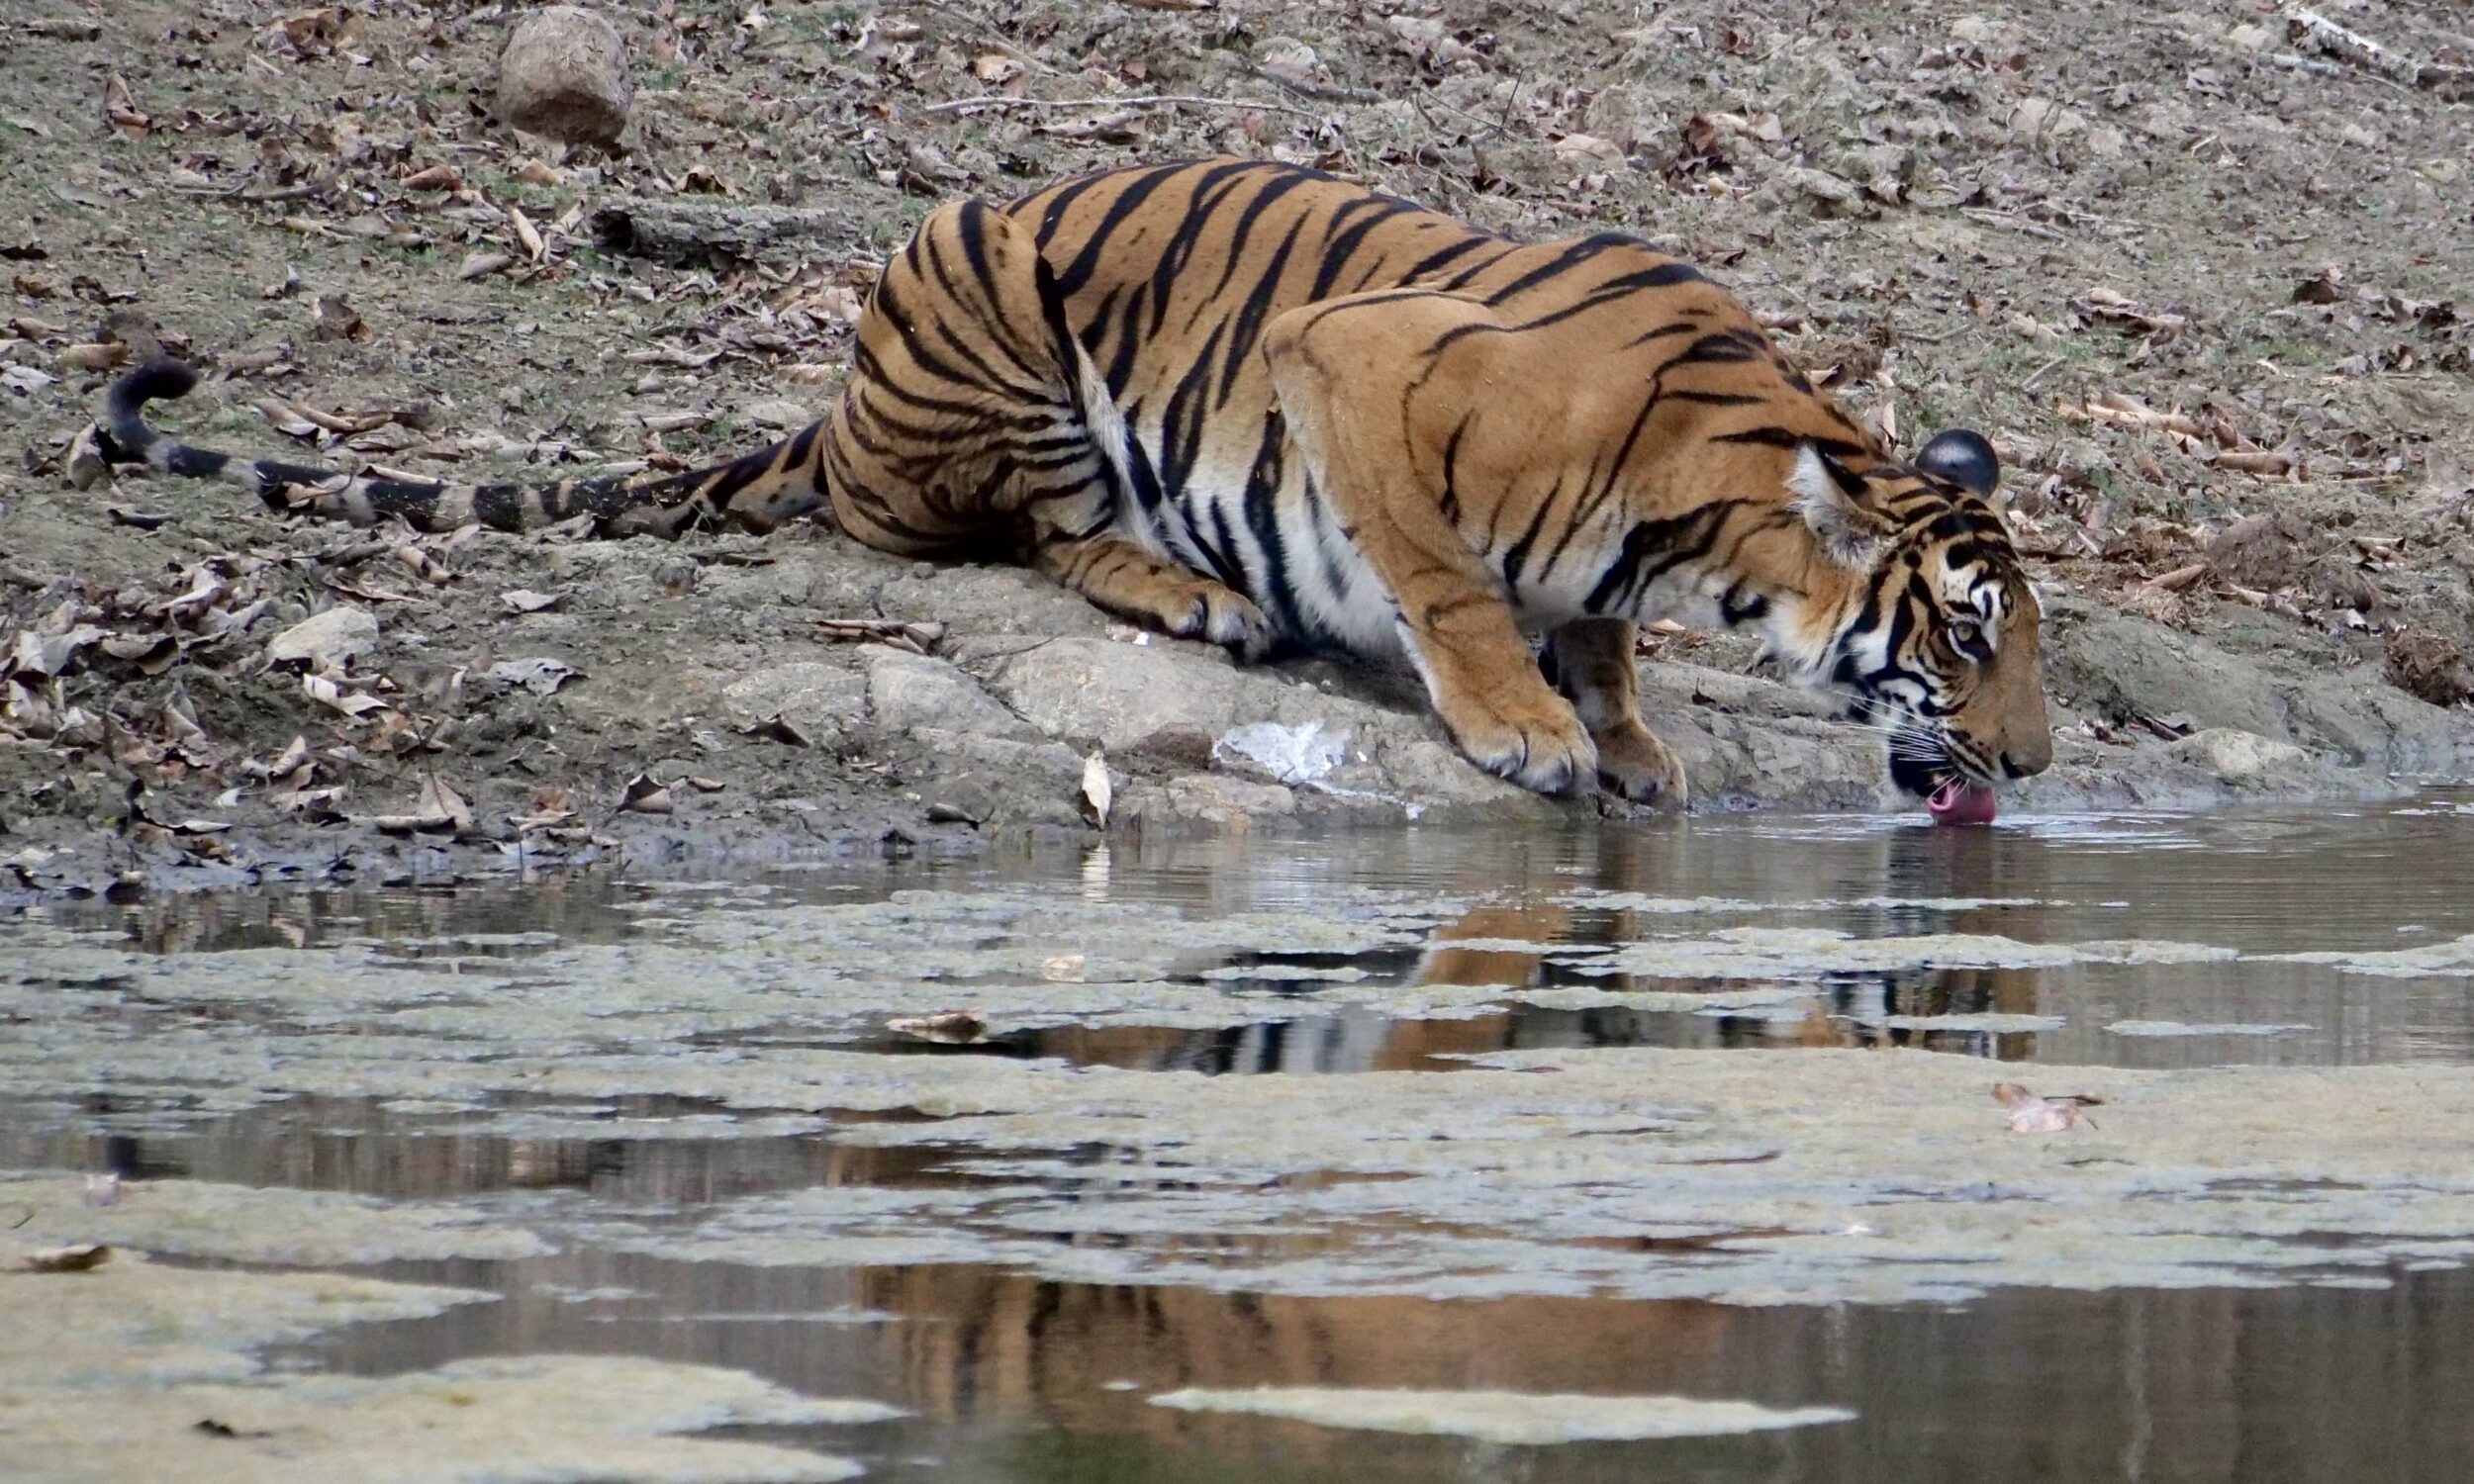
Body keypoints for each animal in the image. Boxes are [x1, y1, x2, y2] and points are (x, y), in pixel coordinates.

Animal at [101, 156, 2048, 816]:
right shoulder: (1355, 363)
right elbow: (1448, 581)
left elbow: (1600, 636)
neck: (1708, 532)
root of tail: (834, 404)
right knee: (1031, 530)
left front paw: (1631, 735)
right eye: (1963, 642)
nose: (2032, 764)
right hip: (997, 301)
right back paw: (1201, 592)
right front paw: (1529, 730)